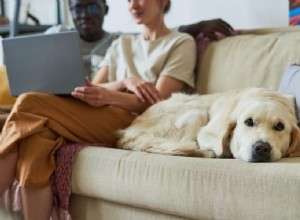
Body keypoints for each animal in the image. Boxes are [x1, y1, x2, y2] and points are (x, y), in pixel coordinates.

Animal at [116, 87, 300, 162]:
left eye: (280, 127)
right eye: (248, 122)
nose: (261, 148)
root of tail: (129, 132)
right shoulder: (206, 132)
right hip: (197, 109)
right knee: (182, 145)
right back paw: (205, 153)